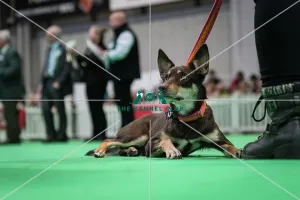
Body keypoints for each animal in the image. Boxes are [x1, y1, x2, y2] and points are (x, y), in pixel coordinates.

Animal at [85, 43, 239, 159]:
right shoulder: (151, 144)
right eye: (165, 77)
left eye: (184, 78)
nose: (161, 87)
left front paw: (238, 150)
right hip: (137, 136)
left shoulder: (219, 140)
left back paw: (131, 151)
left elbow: (230, 146)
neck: (187, 118)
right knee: (109, 140)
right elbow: (165, 139)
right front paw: (172, 150)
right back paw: (101, 150)